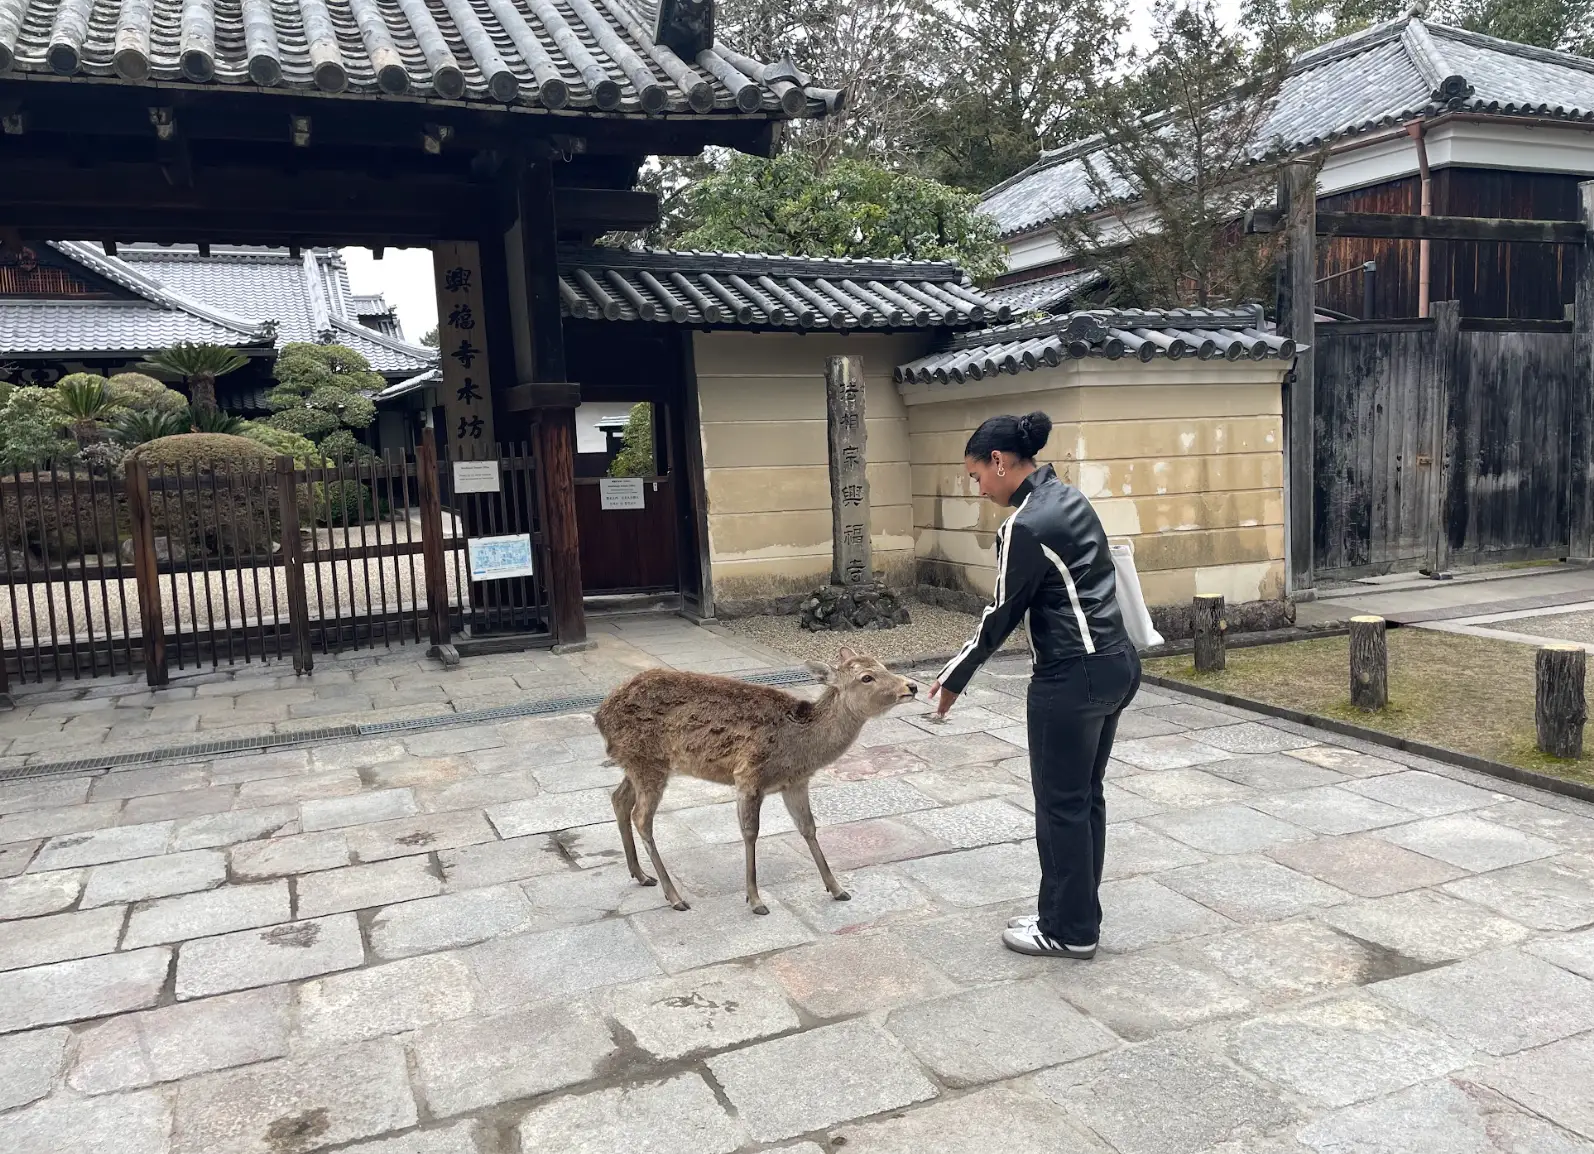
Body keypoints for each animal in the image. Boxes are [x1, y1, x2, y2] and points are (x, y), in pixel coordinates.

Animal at [593, 647, 918, 915]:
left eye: (883, 665)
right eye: (866, 677)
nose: (911, 686)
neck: (801, 747)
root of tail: (600, 716)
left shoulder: (796, 783)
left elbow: (808, 828)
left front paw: (838, 889)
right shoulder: (748, 775)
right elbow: (751, 832)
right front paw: (755, 899)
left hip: (635, 762)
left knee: (618, 799)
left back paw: (641, 874)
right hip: (648, 761)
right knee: (641, 817)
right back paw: (674, 896)